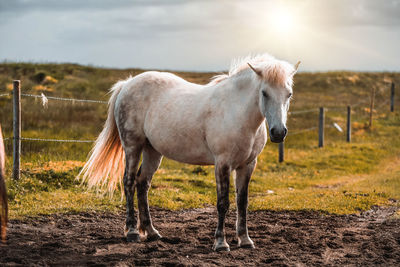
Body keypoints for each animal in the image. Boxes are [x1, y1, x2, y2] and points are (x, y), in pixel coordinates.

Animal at [78, 54, 298, 251]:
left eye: (289, 94)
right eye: (264, 93)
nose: (279, 132)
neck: (236, 111)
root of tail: (127, 84)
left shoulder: (247, 165)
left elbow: (242, 202)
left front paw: (245, 240)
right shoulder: (222, 164)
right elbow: (223, 203)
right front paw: (221, 243)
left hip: (152, 151)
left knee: (143, 184)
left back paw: (151, 232)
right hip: (133, 146)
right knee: (129, 182)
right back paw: (132, 232)